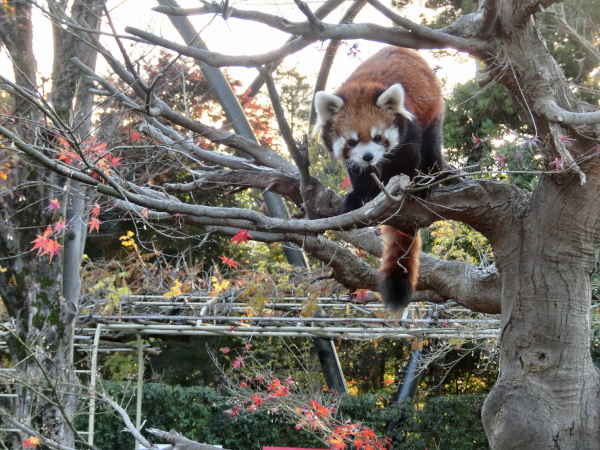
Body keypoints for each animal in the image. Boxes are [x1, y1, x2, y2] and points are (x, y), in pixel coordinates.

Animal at [312, 47, 442, 312]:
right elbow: (358, 174)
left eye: (378, 137)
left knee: (432, 147)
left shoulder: (409, 129)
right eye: (352, 141)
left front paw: (403, 192)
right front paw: (361, 196)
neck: (362, 86)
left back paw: (430, 180)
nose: (368, 156)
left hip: (432, 111)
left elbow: (406, 161)